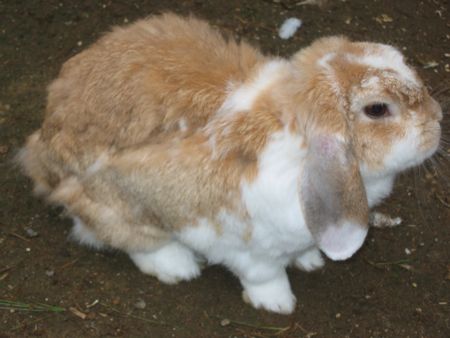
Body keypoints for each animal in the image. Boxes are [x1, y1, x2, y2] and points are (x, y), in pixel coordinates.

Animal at [18, 13, 442, 314]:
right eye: (377, 109)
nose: (438, 121)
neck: (300, 147)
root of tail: (42, 149)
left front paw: (310, 261)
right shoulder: (245, 245)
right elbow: (264, 275)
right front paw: (278, 303)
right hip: (116, 201)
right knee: (121, 236)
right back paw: (177, 266)